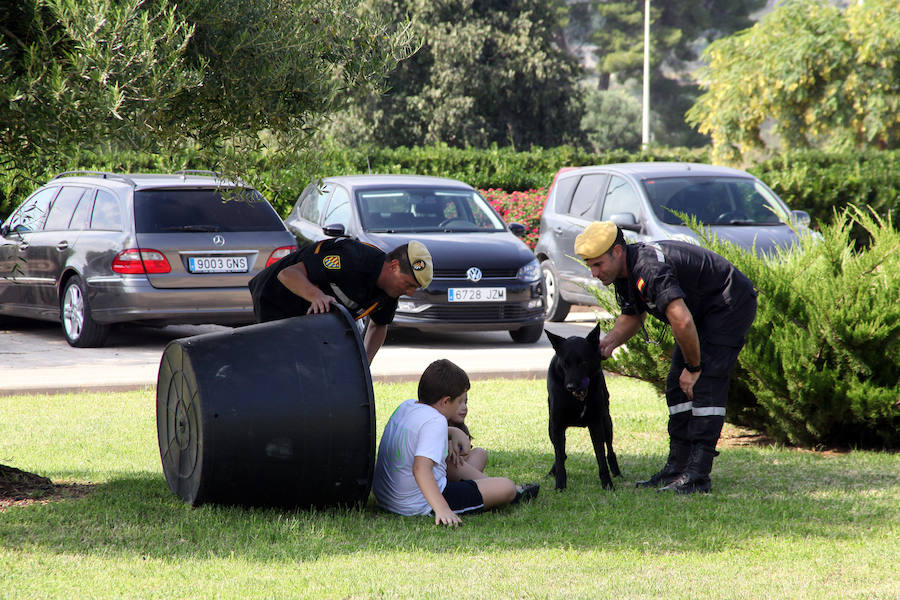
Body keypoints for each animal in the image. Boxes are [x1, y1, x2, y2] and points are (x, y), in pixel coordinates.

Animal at [544, 326, 624, 490]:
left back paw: (617, 473)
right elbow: (559, 457)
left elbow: (601, 457)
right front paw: (560, 486)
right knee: (562, 454)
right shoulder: (557, 425)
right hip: (550, 428)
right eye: (565, 363)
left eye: (583, 362)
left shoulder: (596, 424)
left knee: (610, 450)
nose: (570, 387)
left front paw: (608, 485)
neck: (578, 397)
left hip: (606, 422)